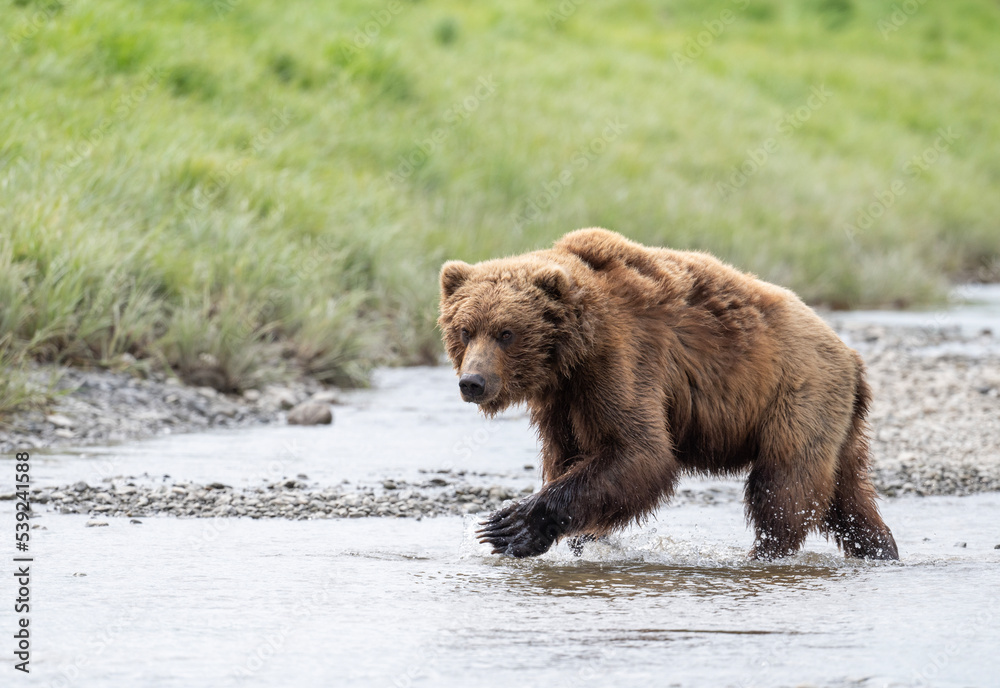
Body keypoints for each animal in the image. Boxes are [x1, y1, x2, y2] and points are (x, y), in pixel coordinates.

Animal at [438, 228, 898, 561]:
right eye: (465, 329)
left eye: (506, 332)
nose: (473, 382)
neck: (573, 354)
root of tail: (851, 355)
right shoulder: (562, 401)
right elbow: (568, 455)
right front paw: (571, 539)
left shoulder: (623, 361)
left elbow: (640, 451)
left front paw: (509, 526)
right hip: (840, 422)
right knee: (848, 497)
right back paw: (880, 549)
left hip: (798, 394)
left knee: (784, 484)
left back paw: (765, 554)